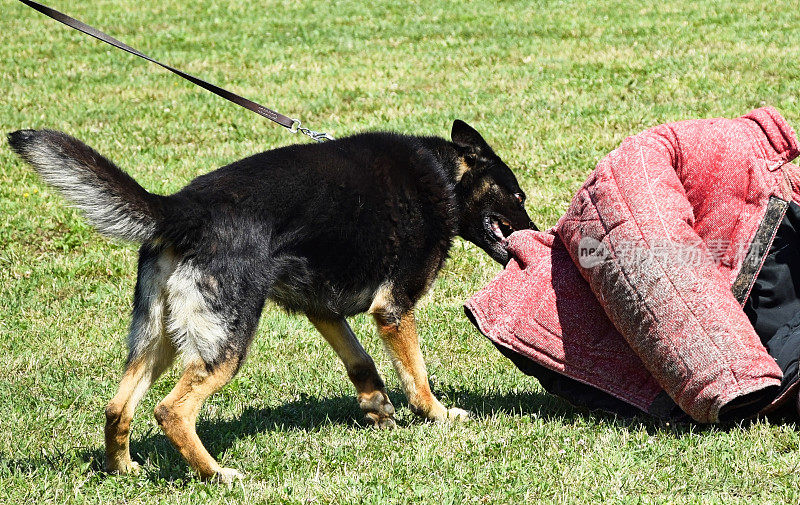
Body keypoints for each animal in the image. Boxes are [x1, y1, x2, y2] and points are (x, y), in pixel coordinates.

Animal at [6, 120, 536, 482]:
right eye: (517, 196)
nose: (535, 230)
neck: (443, 177)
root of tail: (180, 208)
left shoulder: (323, 308)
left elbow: (360, 361)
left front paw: (376, 407)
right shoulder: (394, 309)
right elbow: (417, 375)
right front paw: (438, 415)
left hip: (159, 340)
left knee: (118, 407)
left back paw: (124, 470)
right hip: (227, 341)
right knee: (172, 411)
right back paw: (216, 474)